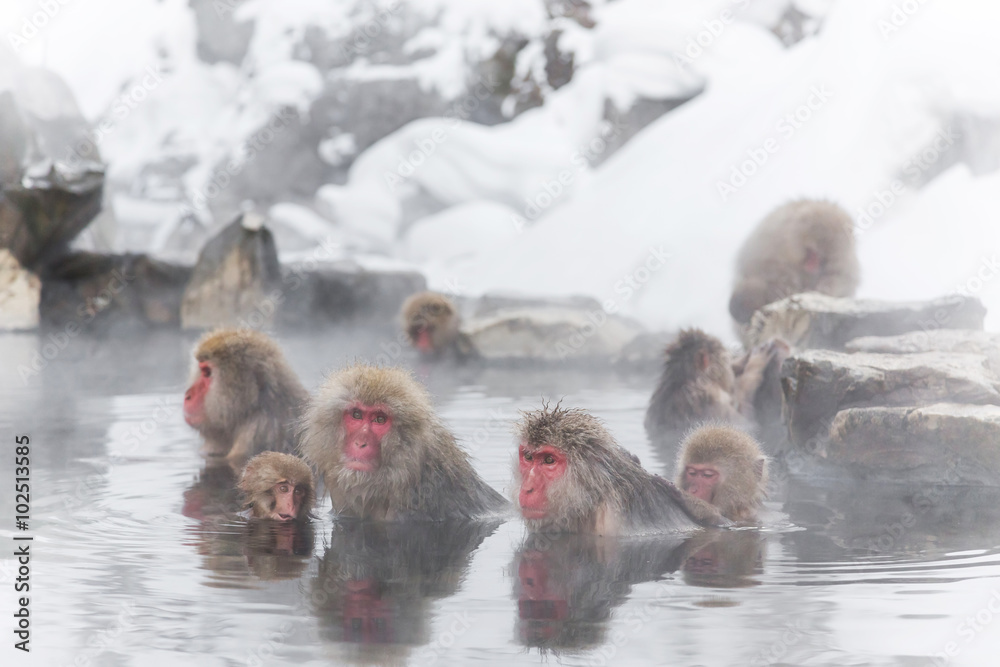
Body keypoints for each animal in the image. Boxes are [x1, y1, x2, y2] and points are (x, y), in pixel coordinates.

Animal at [643, 329, 786, 442]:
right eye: (726, 360)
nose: (732, 368)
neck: (683, 382)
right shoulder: (709, 402)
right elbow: (746, 423)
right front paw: (756, 362)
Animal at [729, 199, 860, 325]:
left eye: (822, 259)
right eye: (811, 252)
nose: (812, 266)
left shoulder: (845, 259)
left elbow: (845, 279)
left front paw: (821, 288)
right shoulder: (772, 235)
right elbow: (762, 265)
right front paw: (790, 286)